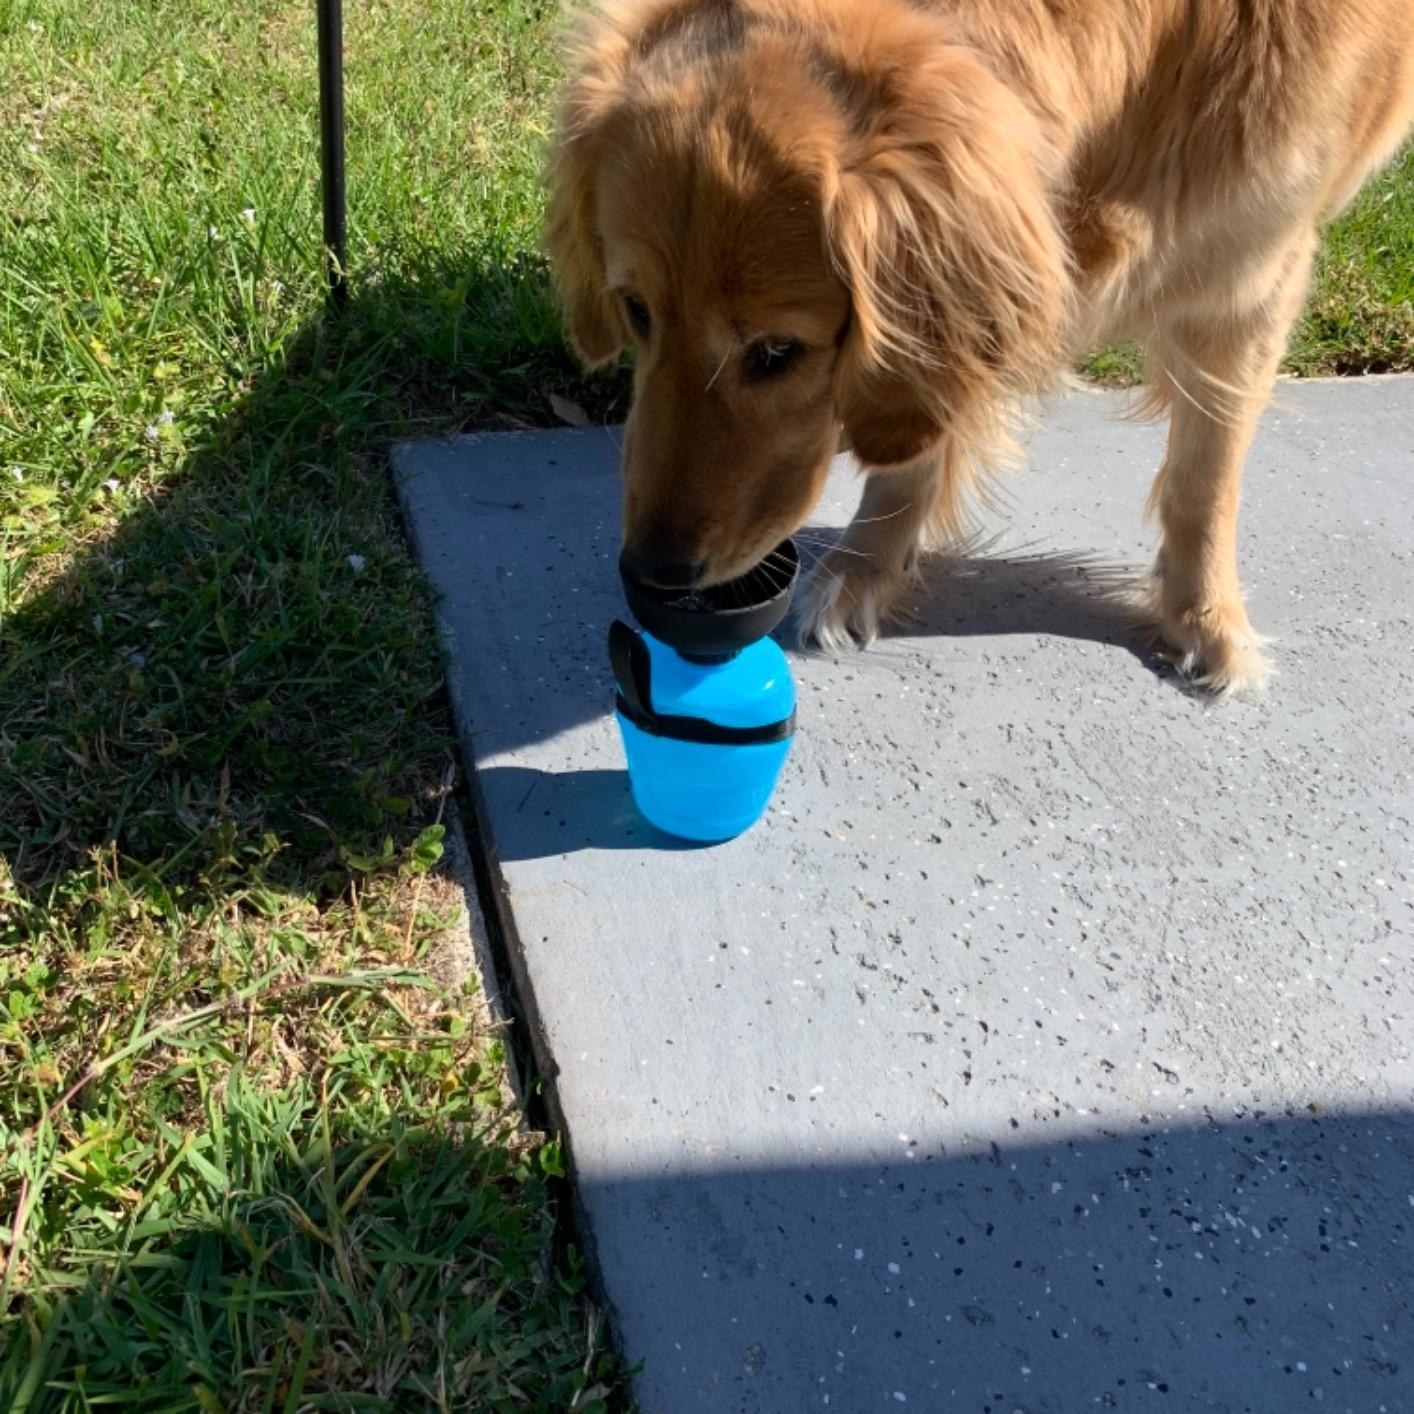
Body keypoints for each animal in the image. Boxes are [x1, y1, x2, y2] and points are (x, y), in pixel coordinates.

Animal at [542, 0, 1414, 690]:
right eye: (635, 311)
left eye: (778, 352)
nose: (654, 572)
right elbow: (920, 425)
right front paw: (867, 565)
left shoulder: (1257, 269)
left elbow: (1208, 473)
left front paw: (1204, 620)